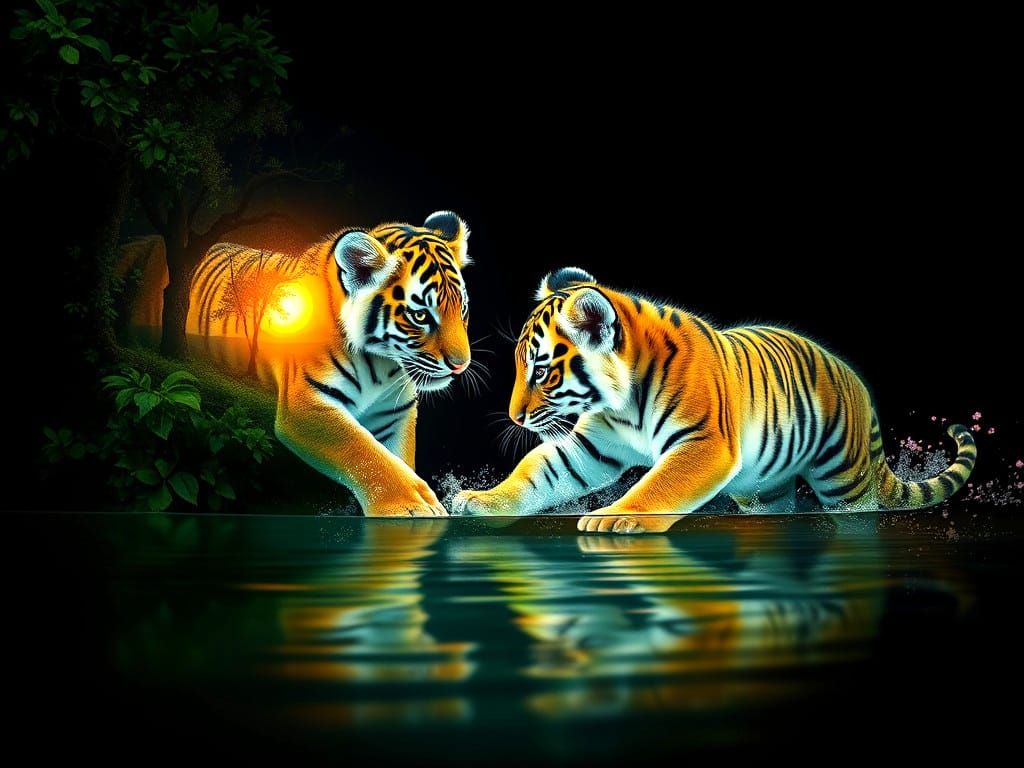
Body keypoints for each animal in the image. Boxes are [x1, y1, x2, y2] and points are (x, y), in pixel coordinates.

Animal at [190, 211, 475, 517]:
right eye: (420, 316)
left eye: (462, 309)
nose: (461, 365)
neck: (383, 366)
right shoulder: (306, 404)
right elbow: (363, 450)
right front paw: (414, 505)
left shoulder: (395, 413)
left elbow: (396, 457)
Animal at [453, 267, 977, 532]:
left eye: (541, 370)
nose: (515, 417)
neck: (620, 404)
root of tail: (857, 383)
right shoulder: (589, 449)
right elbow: (536, 474)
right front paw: (481, 502)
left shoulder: (705, 444)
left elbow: (659, 486)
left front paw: (614, 517)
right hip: (764, 488)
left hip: (844, 479)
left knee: (863, 506)